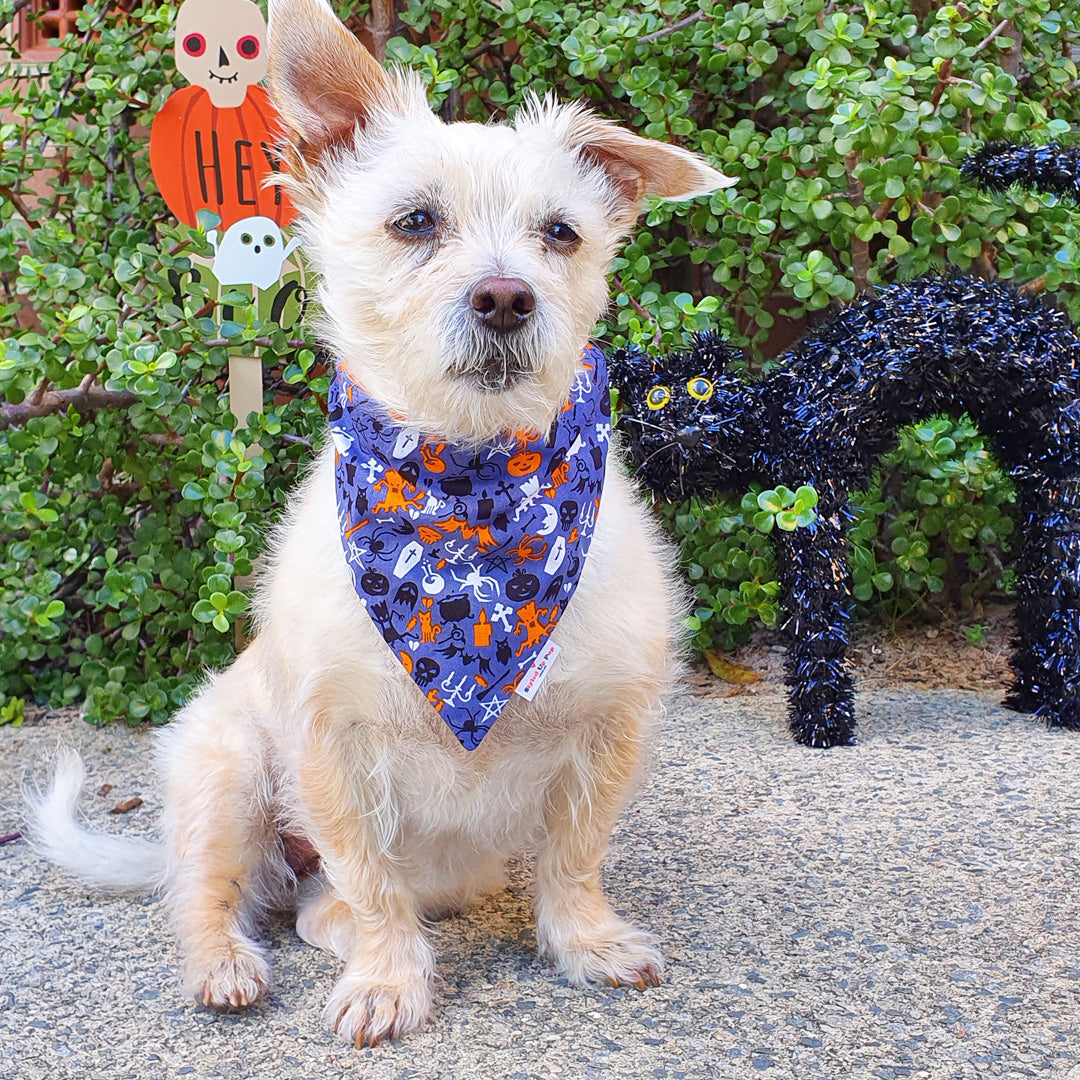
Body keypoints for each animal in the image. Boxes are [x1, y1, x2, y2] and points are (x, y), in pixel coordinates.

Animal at [27, 0, 734, 1045]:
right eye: (415, 222)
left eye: (561, 233)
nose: (506, 296)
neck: (472, 502)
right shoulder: (330, 748)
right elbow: (369, 878)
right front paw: (388, 981)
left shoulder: (609, 732)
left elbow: (573, 858)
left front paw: (586, 943)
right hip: (226, 774)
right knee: (211, 895)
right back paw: (225, 963)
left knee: (318, 907)